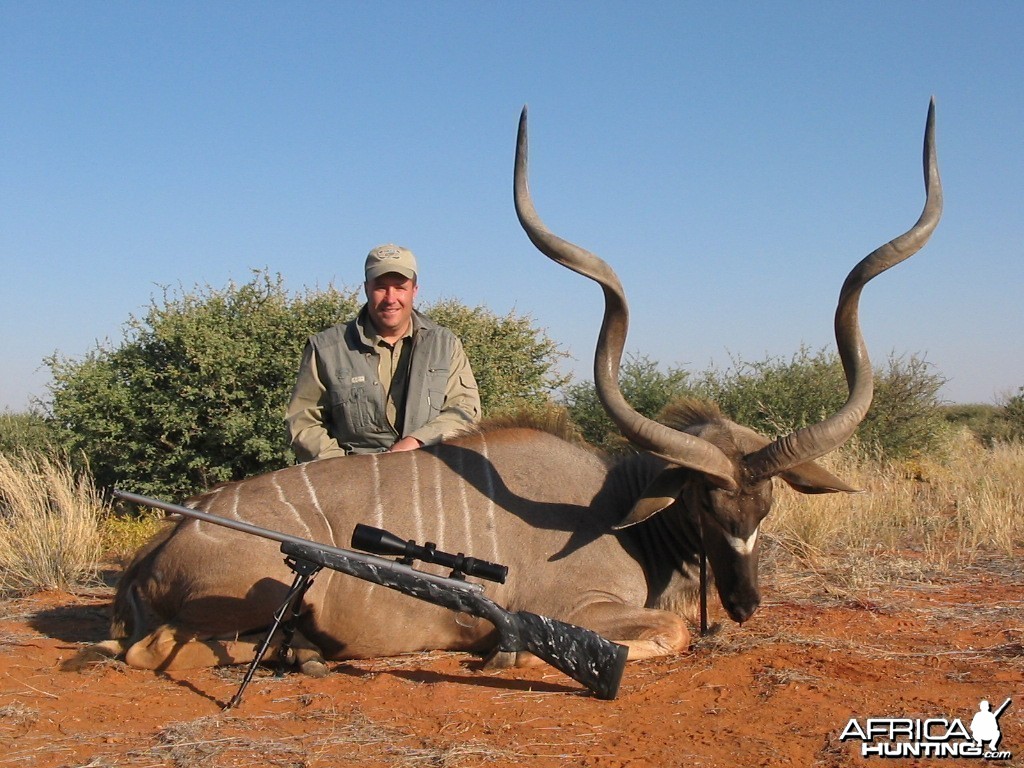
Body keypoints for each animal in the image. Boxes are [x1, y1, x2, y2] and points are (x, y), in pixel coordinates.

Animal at [77, 100, 942, 679]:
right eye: (702, 502)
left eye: (766, 506)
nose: (748, 602)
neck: (618, 514)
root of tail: (161, 543)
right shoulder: (581, 610)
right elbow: (670, 635)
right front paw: (508, 653)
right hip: (252, 601)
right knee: (163, 649)